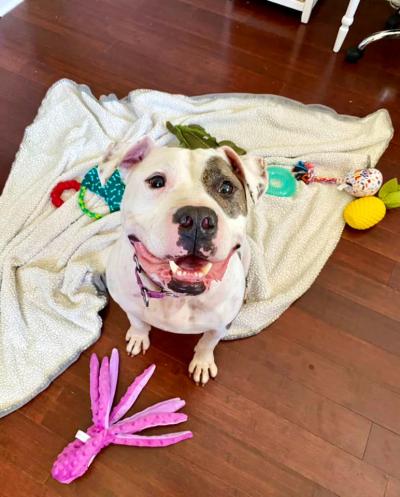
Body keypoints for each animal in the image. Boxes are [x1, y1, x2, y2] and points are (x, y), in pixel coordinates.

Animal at [108, 136, 268, 384]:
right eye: (156, 182)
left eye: (226, 187)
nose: (197, 218)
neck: (177, 297)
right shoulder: (127, 302)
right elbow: (137, 320)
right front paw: (138, 336)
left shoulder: (221, 325)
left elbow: (208, 343)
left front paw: (202, 363)